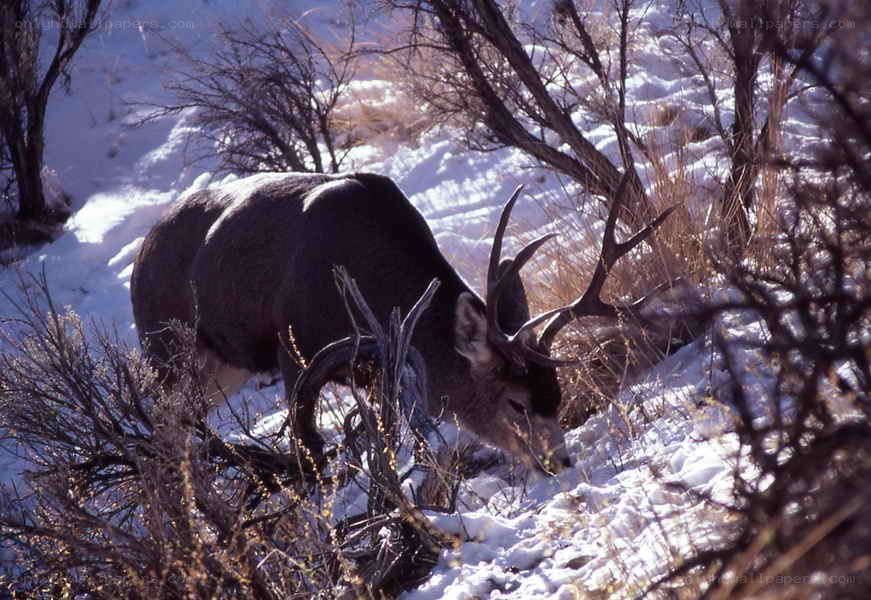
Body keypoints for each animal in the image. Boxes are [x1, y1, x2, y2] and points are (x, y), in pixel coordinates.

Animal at [131, 171, 673, 474]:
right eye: (516, 403)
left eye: (556, 395)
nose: (558, 462)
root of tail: (140, 258)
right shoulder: (293, 349)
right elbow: (310, 451)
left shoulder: (379, 369)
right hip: (167, 353)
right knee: (169, 433)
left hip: (221, 371)